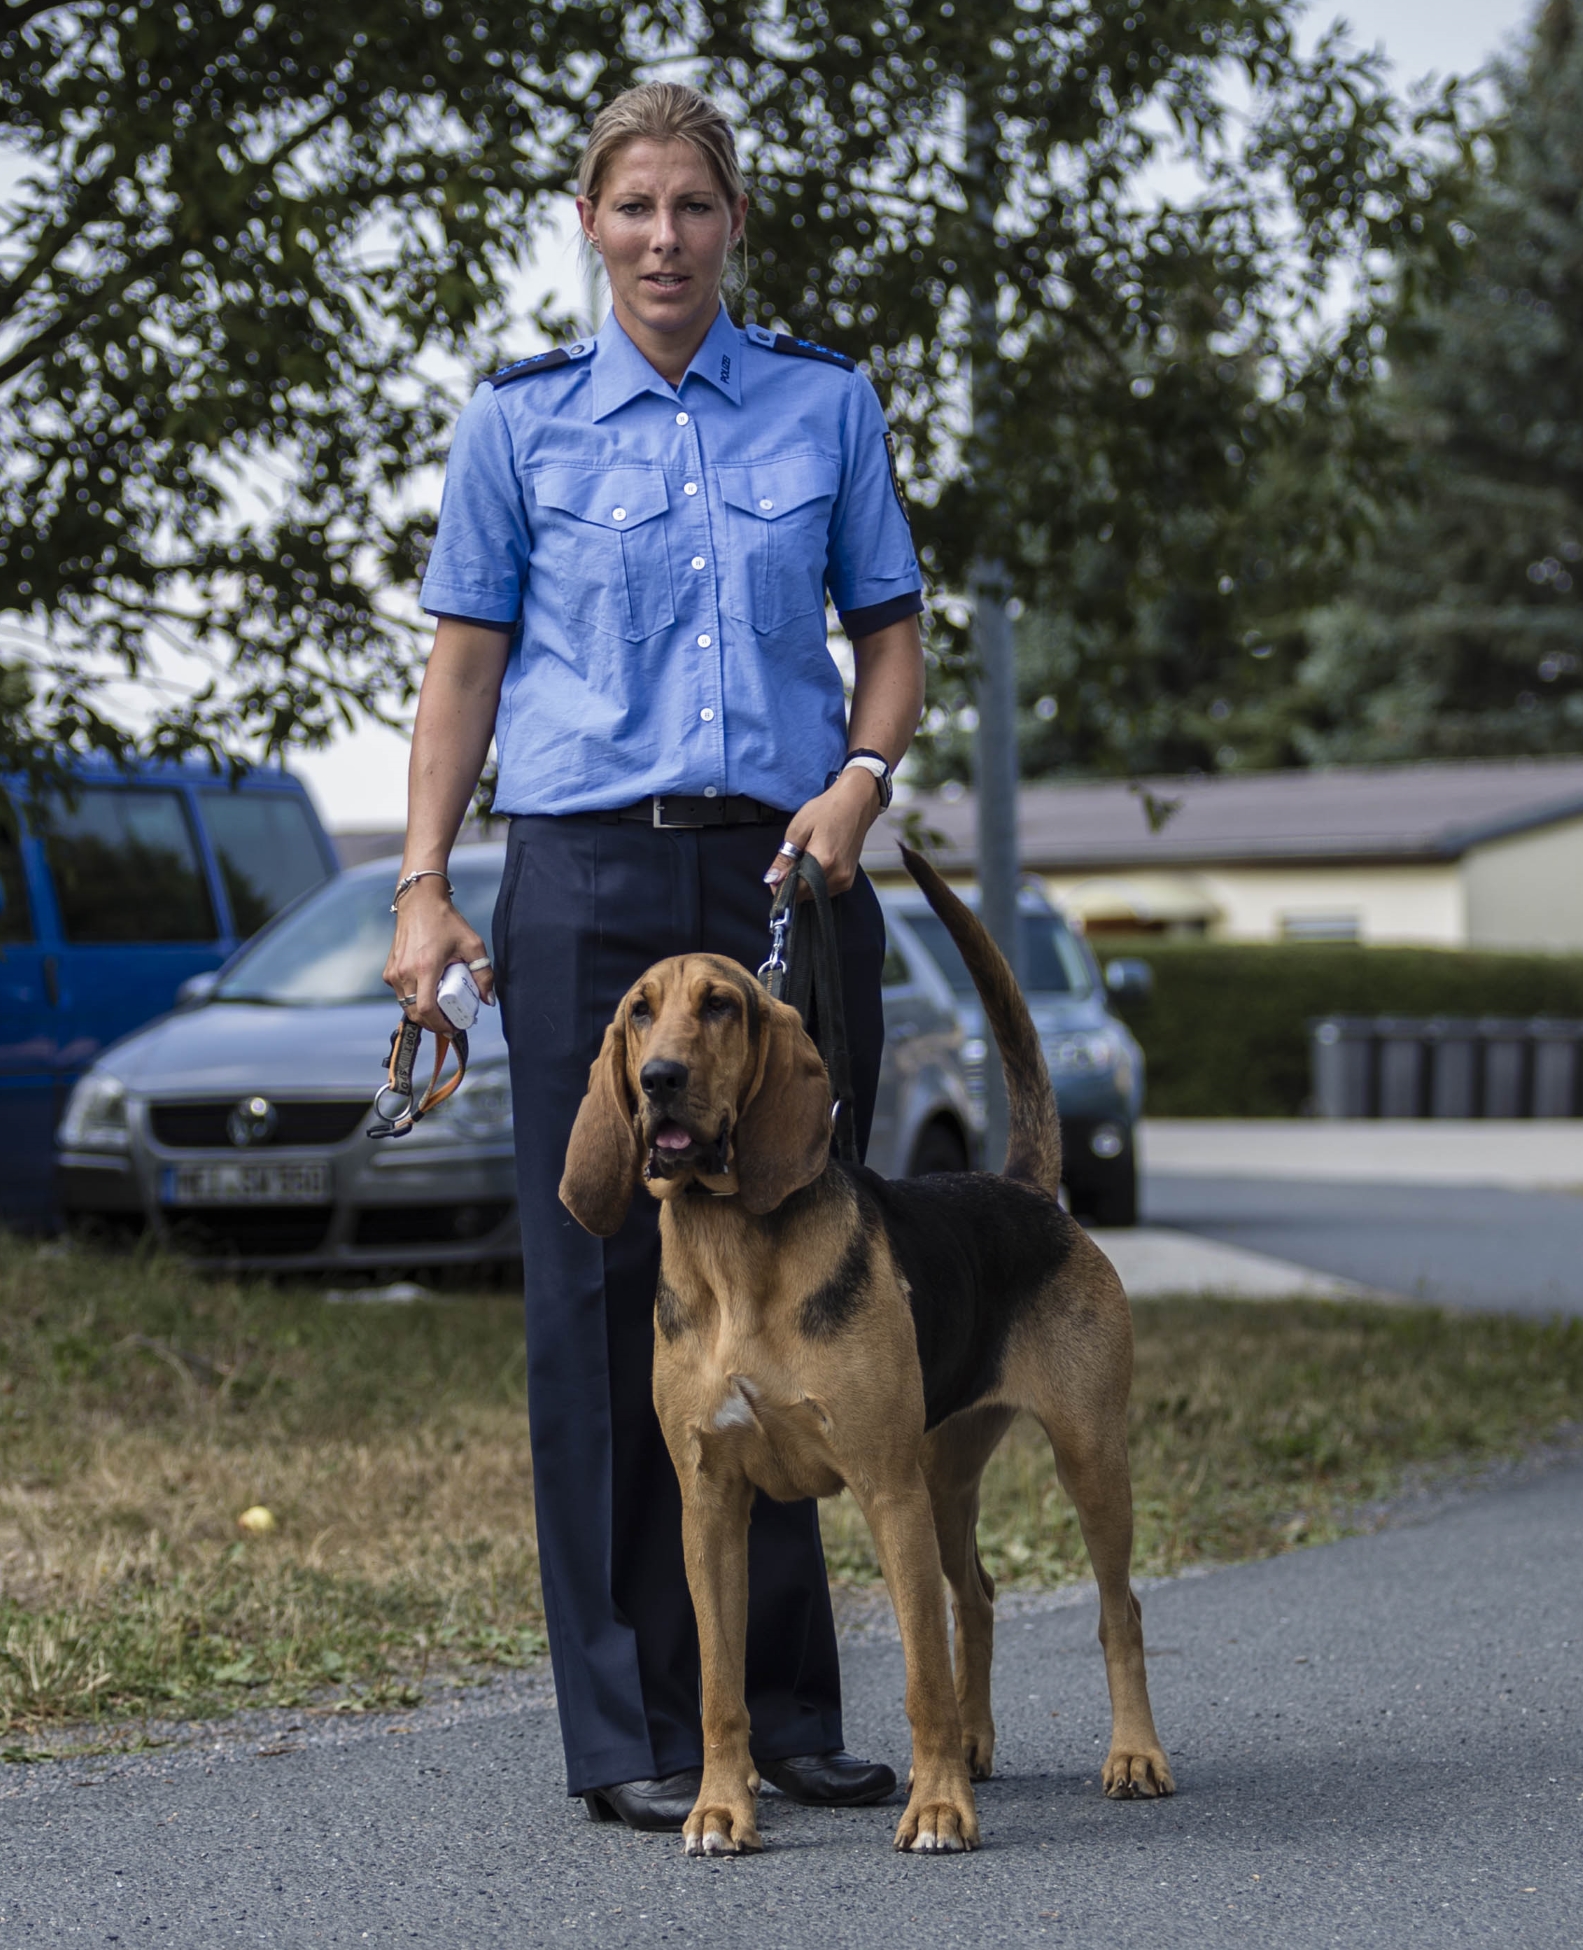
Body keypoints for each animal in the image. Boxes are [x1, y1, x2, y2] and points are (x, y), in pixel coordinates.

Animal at [561, 850, 1169, 1856]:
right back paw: (974, 1745)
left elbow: (921, 1677)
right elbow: (721, 1685)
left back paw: (1130, 1757)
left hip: (1083, 1457)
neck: (736, 1249)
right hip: (945, 1474)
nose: (658, 1079)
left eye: (720, 1006)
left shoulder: (884, 1488)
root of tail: (1025, 1187)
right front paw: (719, 1807)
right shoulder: (710, 1502)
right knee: (979, 1595)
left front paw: (937, 1811)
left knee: (1117, 1611)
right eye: (639, 1010)